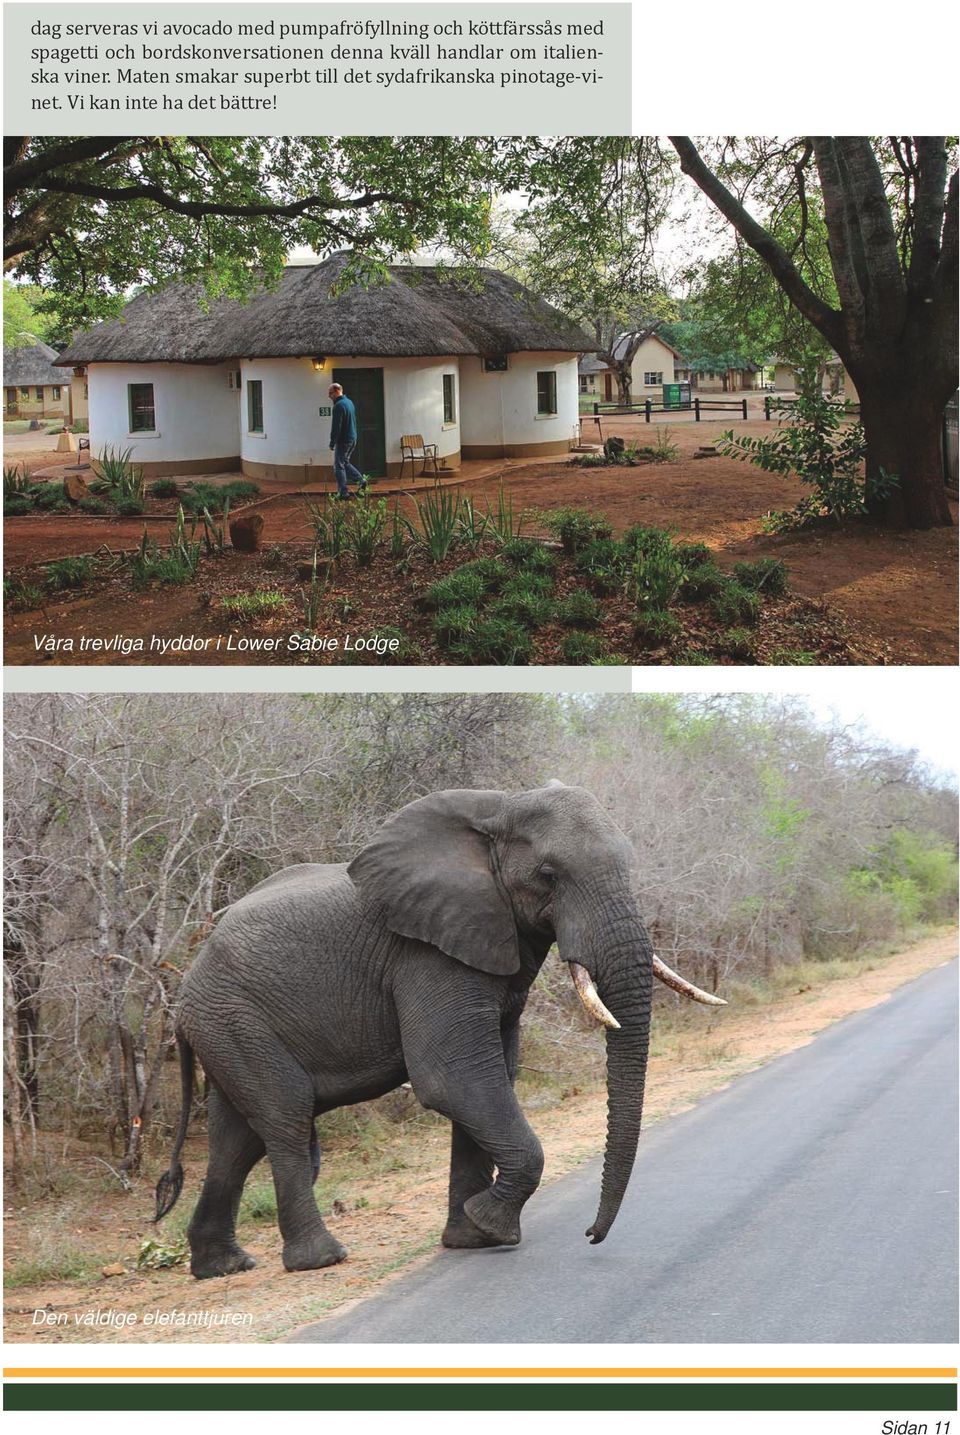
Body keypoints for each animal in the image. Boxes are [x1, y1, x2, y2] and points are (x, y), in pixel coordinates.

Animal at [155, 786, 717, 1280]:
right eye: (549, 875)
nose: (591, 1236)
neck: (498, 810)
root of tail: (183, 994)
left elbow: (494, 1075)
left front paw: (474, 1237)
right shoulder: (426, 954)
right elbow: (454, 1077)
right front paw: (488, 1223)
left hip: (226, 1027)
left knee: (238, 1138)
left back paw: (222, 1267)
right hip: (233, 1016)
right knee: (285, 1115)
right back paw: (321, 1260)